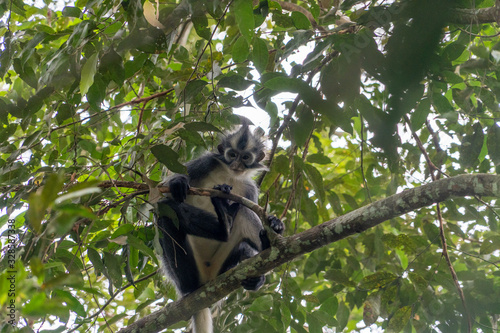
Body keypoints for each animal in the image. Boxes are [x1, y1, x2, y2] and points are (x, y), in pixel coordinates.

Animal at [154, 121, 284, 332]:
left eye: (245, 157)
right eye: (232, 154)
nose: (237, 165)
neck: (229, 175)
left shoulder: (249, 189)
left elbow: (251, 209)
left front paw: (275, 223)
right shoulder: (205, 163)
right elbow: (161, 194)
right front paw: (178, 181)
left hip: (221, 266)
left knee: (242, 213)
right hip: (188, 271)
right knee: (166, 210)